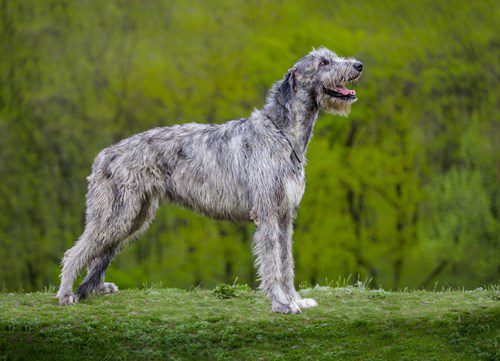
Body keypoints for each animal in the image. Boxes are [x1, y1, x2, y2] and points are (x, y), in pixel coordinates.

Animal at [57, 47, 364, 312]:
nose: (359, 65)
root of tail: (102, 156)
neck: (282, 134)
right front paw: (281, 303)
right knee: (75, 252)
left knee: (101, 251)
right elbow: (272, 262)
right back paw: (66, 294)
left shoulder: (285, 214)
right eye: (323, 62)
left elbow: (286, 261)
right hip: (116, 213)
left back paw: (95, 289)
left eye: (332, 56)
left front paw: (295, 299)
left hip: (135, 216)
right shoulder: (267, 212)